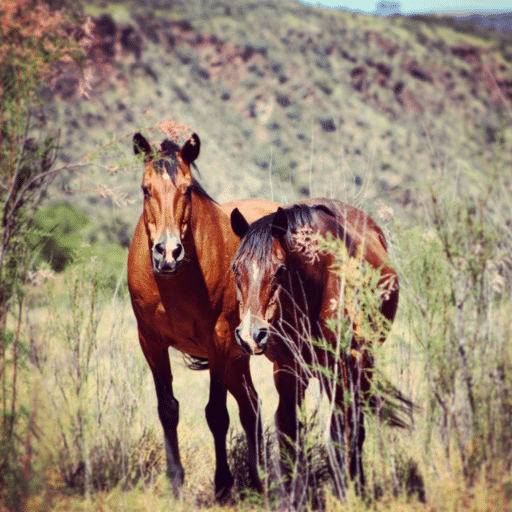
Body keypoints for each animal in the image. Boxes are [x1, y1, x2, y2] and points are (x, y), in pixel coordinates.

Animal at [128, 132, 280, 500]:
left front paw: (222, 484)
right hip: (240, 356)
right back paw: (256, 480)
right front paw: (176, 482)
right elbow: (168, 409)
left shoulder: (219, 340)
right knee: (251, 408)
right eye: (145, 188)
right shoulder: (151, 341)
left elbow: (216, 414)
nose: (168, 253)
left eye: (187, 189)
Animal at [230, 201, 402, 500]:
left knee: (353, 425)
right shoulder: (287, 372)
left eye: (280, 270)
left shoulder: (340, 369)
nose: (251, 335)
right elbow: (290, 435)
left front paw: (348, 493)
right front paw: (294, 497)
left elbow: (340, 432)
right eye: (236, 269)